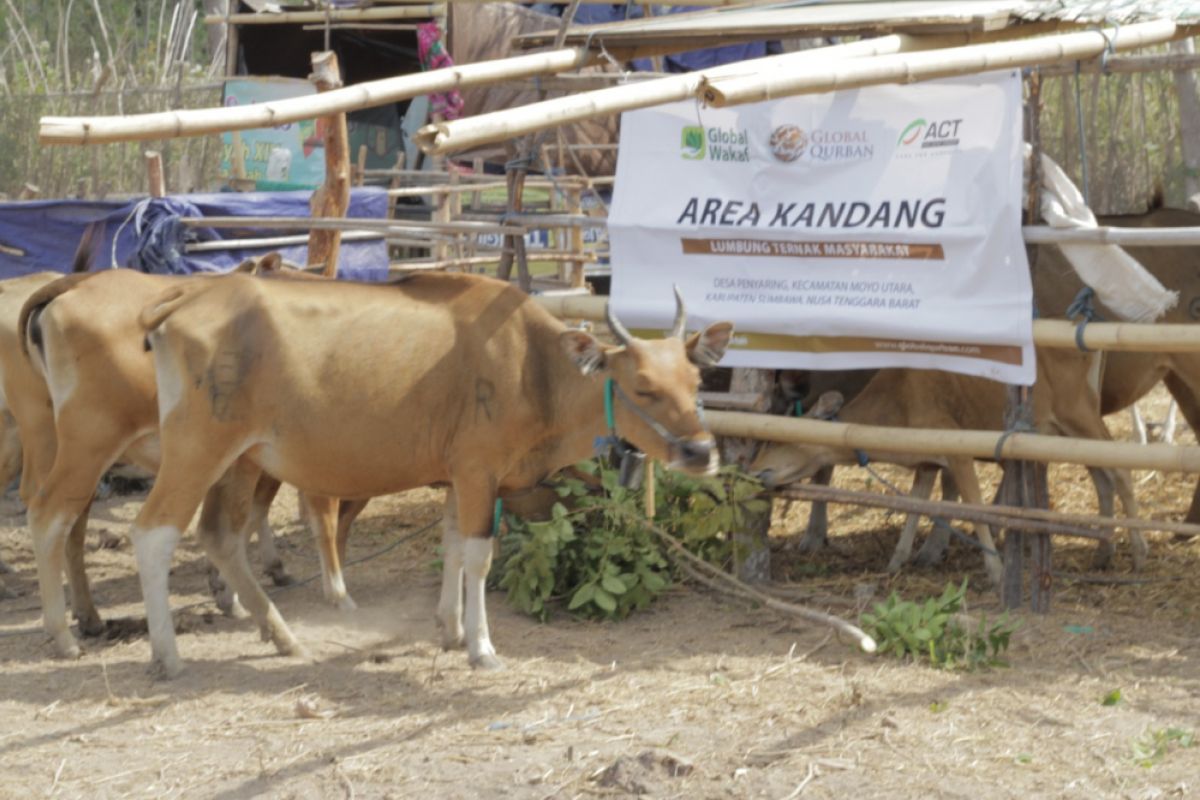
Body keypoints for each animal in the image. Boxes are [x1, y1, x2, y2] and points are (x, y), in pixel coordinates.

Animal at [131, 273, 729, 676]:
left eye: (697, 382)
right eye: (643, 387)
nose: (701, 451)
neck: (530, 365)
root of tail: (188, 296)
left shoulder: (459, 478)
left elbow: (452, 545)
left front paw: (450, 627)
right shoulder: (478, 471)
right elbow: (478, 555)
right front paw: (481, 646)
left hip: (242, 461)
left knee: (220, 536)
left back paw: (282, 636)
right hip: (197, 451)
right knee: (154, 533)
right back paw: (168, 654)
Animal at [753, 347, 1137, 585]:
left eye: (774, 438)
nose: (755, 469)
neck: (895, 409)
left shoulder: (956, 450)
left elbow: (975, 509)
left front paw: (996, 570)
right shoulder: (926, 463)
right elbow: (914, 507)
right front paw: (896, 562)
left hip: (1078, 412)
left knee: (1120, 469)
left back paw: (1139, 552)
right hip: (1065, 426)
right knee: (1102, 475)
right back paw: (1104, 552)